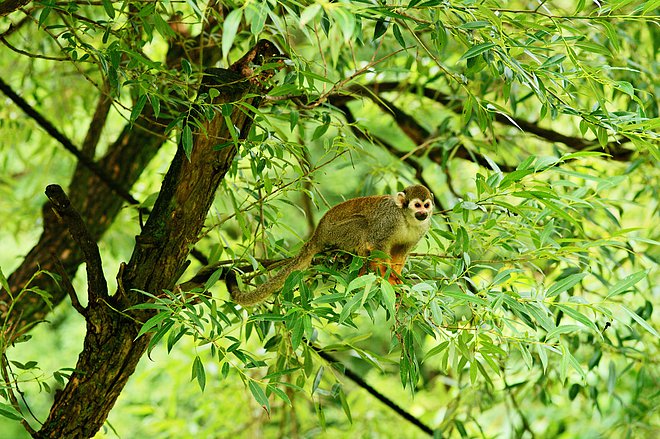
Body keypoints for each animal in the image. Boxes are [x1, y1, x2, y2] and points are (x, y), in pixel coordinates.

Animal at [227, 185, 434, 306]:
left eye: (426, 205)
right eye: (417, 205)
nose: (423, 213)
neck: (406, 219)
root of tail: (318, 232)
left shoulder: (421, 229)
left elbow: (401, 253)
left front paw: (397, 278)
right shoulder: (388, 221)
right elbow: (377, 245)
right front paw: (387, 278)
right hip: (336, 232)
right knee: (361, 226)